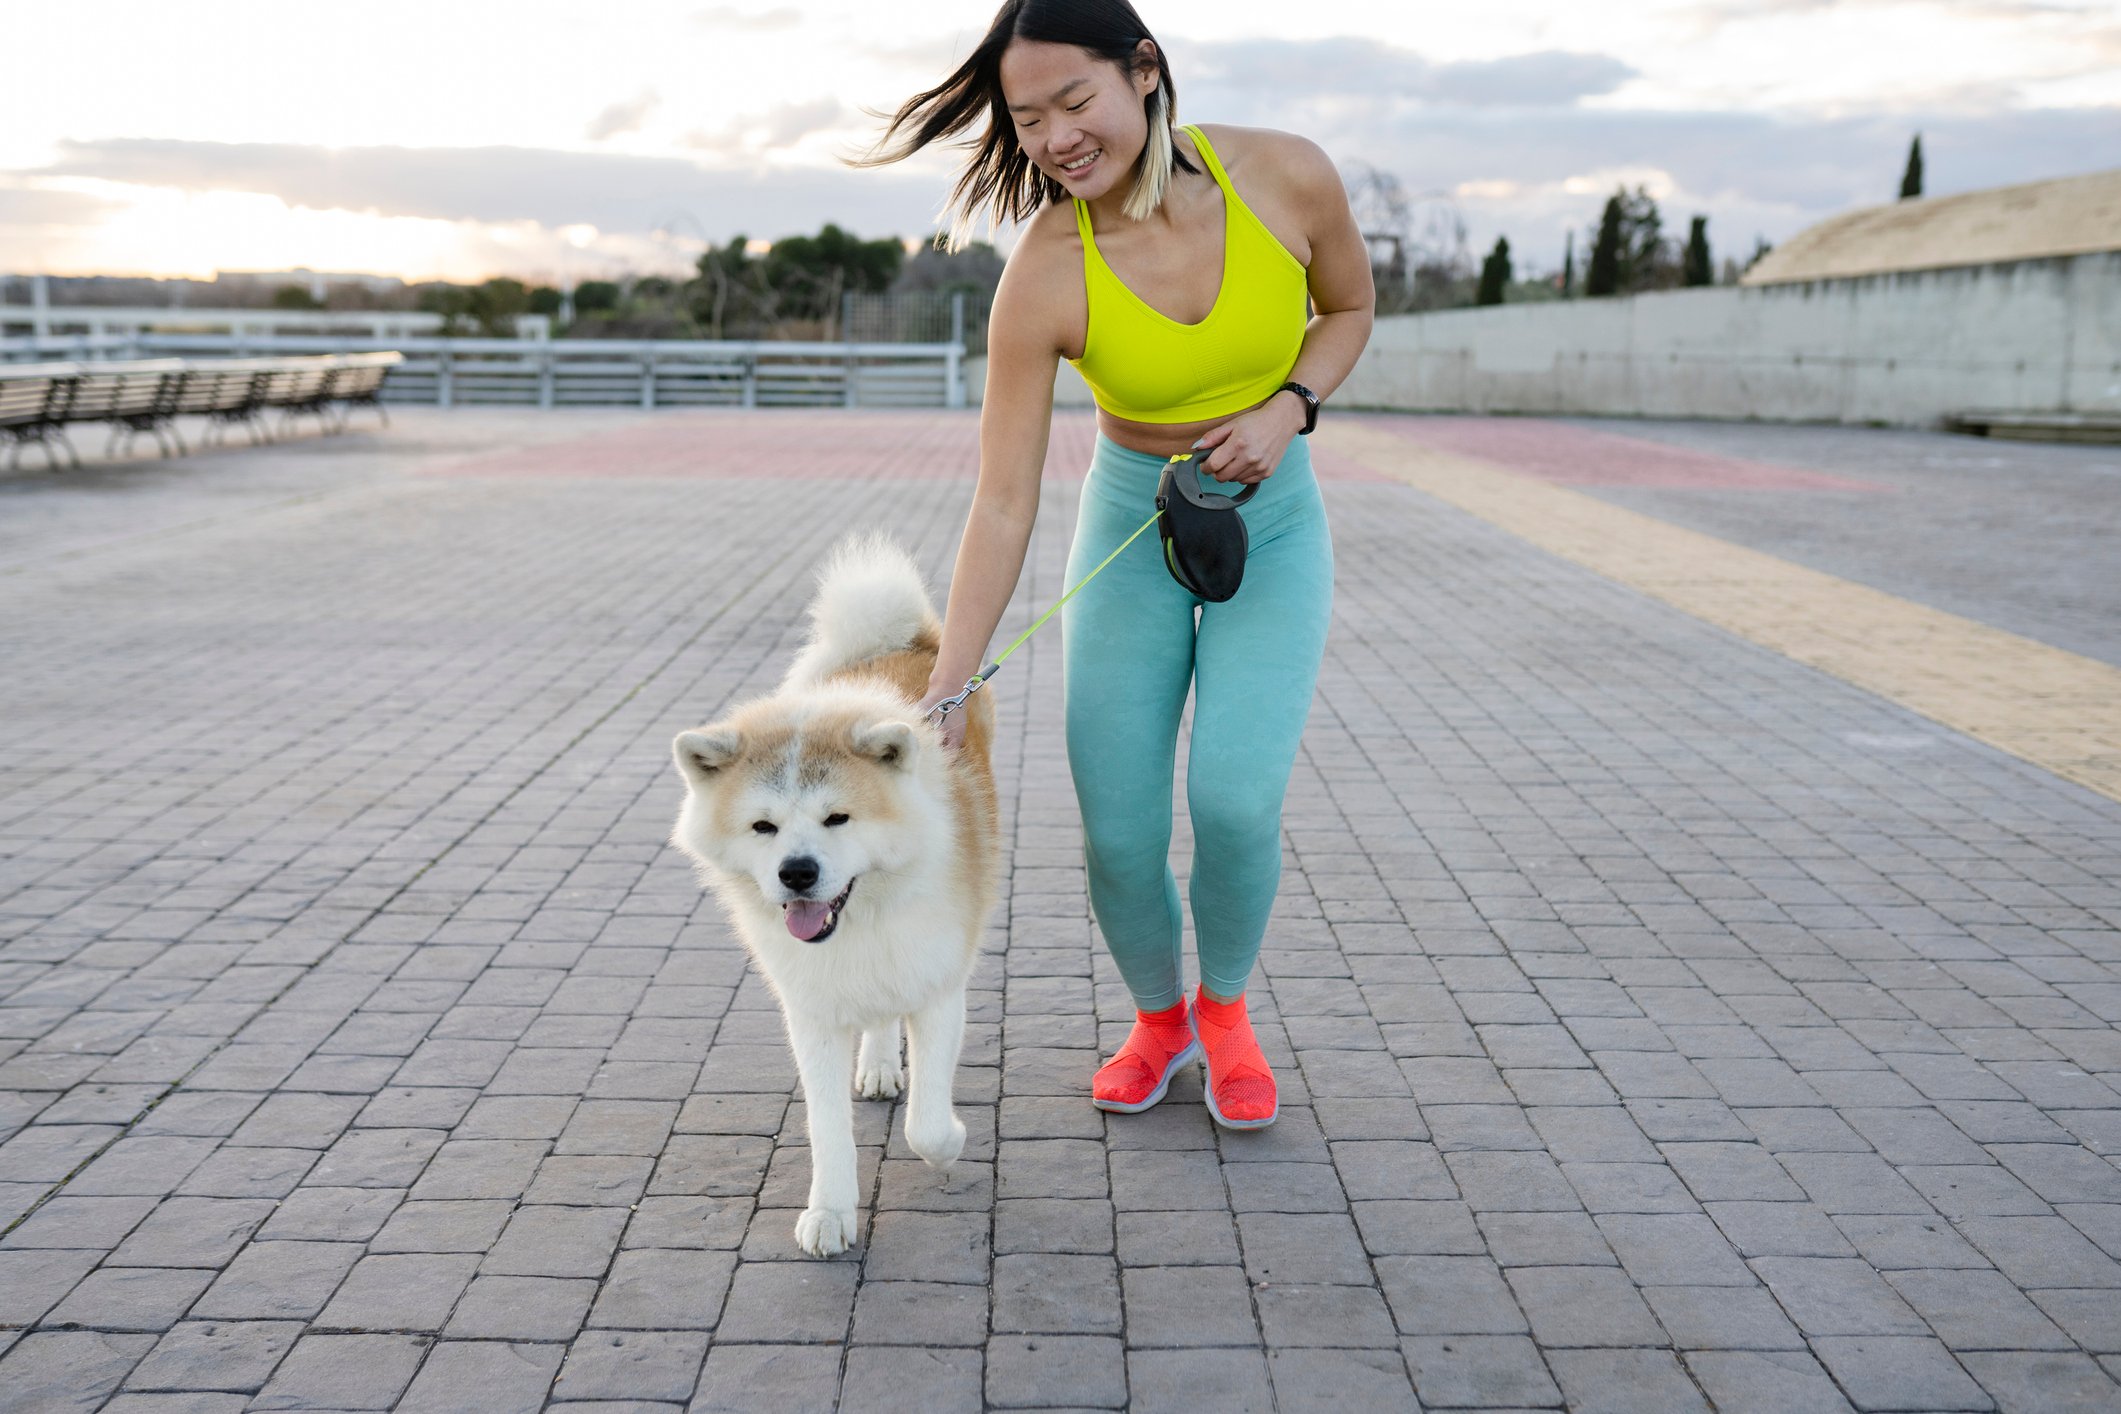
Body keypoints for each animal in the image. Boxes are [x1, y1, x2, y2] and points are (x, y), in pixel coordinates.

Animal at [670, 536, 1001, 1255]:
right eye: (763, 827)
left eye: (837, 819)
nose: (796, 872)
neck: (860, 922)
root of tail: (895, 643)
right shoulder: (813, 1012)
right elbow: (826, 1130)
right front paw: (830, 1211)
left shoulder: (938, 990)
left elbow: (927, 1125)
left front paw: (950, 1143)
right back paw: (876, 1066)